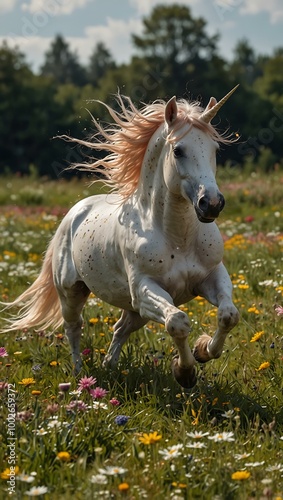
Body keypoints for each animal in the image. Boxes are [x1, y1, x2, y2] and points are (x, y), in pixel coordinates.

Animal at [1, 88, 241, 388]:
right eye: (178, 150)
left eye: (215, 149)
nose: (211, 204)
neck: (178, 238)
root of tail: (73, 214)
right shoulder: (145, 289)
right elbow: (177, 322)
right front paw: (184, 372)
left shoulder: (211, 276)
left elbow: (228, 316)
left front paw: (202, 350)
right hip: (73, 293)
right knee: (73, 328)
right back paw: (80, 374)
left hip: (134, 309)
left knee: (120, 328)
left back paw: (110, 365)